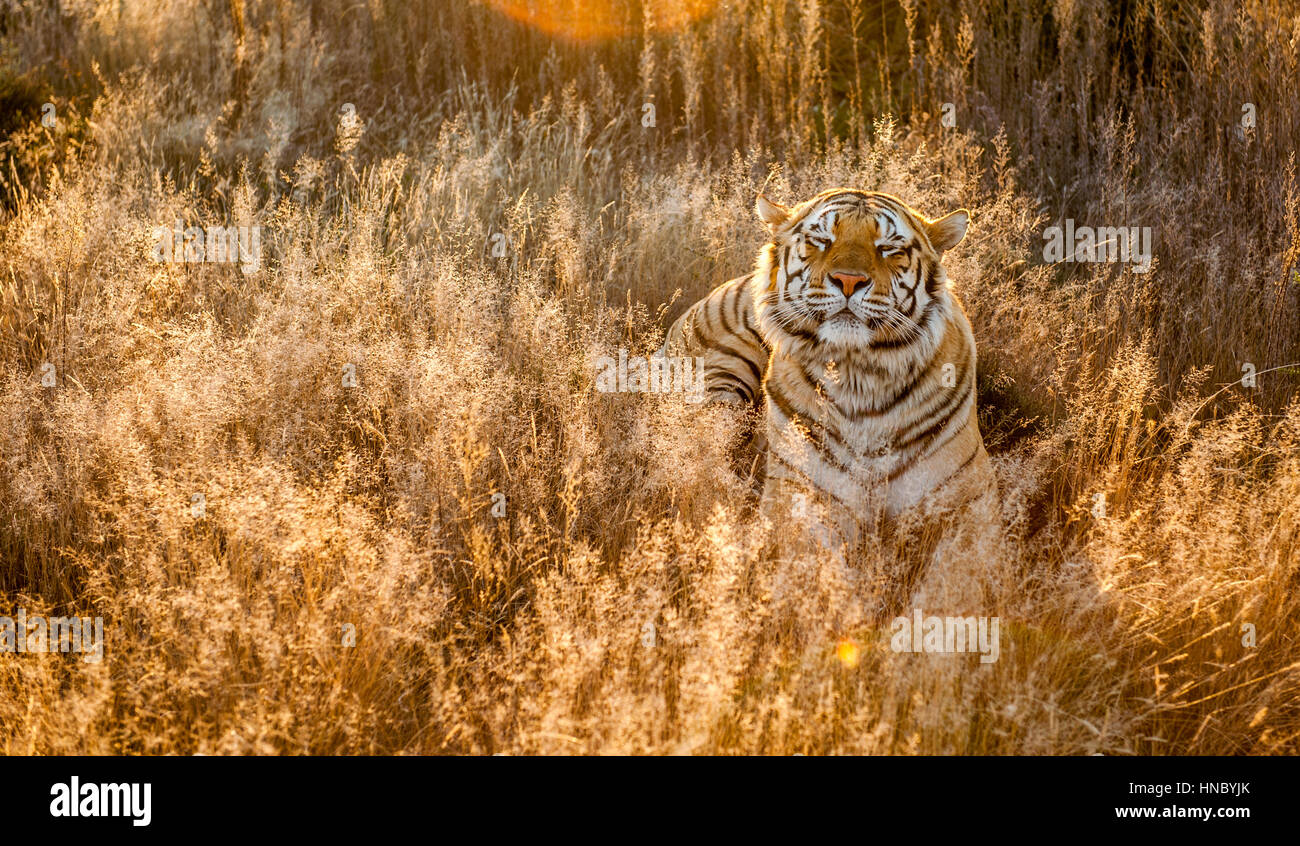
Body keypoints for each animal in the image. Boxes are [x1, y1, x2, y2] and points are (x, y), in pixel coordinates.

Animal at [665, 187, 998, 556]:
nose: (849, 280)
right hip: (725, 378)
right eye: (822, 241)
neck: (860, 376)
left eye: (888, 248)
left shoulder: (968, 500)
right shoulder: (801, 494)